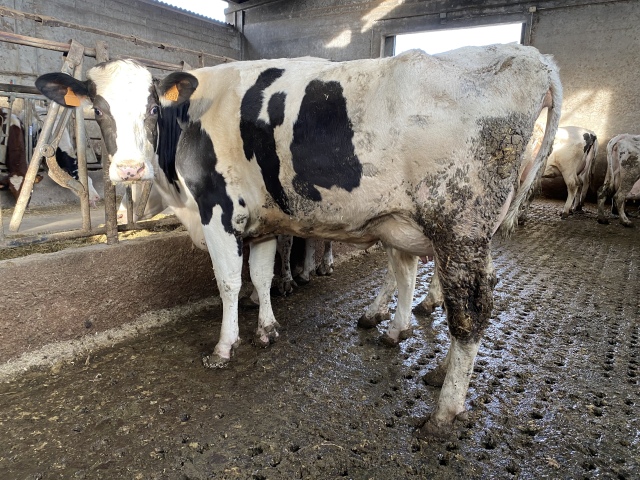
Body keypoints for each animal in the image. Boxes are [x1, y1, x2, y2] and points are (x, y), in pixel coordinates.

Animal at [37, 46, 564, 436]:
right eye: (97, 110)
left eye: (151, 108)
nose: (128, 169)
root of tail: (531, 56)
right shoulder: (265, 220)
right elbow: (261, 276)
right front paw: (268, 329)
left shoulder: (217, 210)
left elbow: (229, 283)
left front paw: (224, 347)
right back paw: (427, 362)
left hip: (460, 226)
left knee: (470, 312)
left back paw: (444, 410)